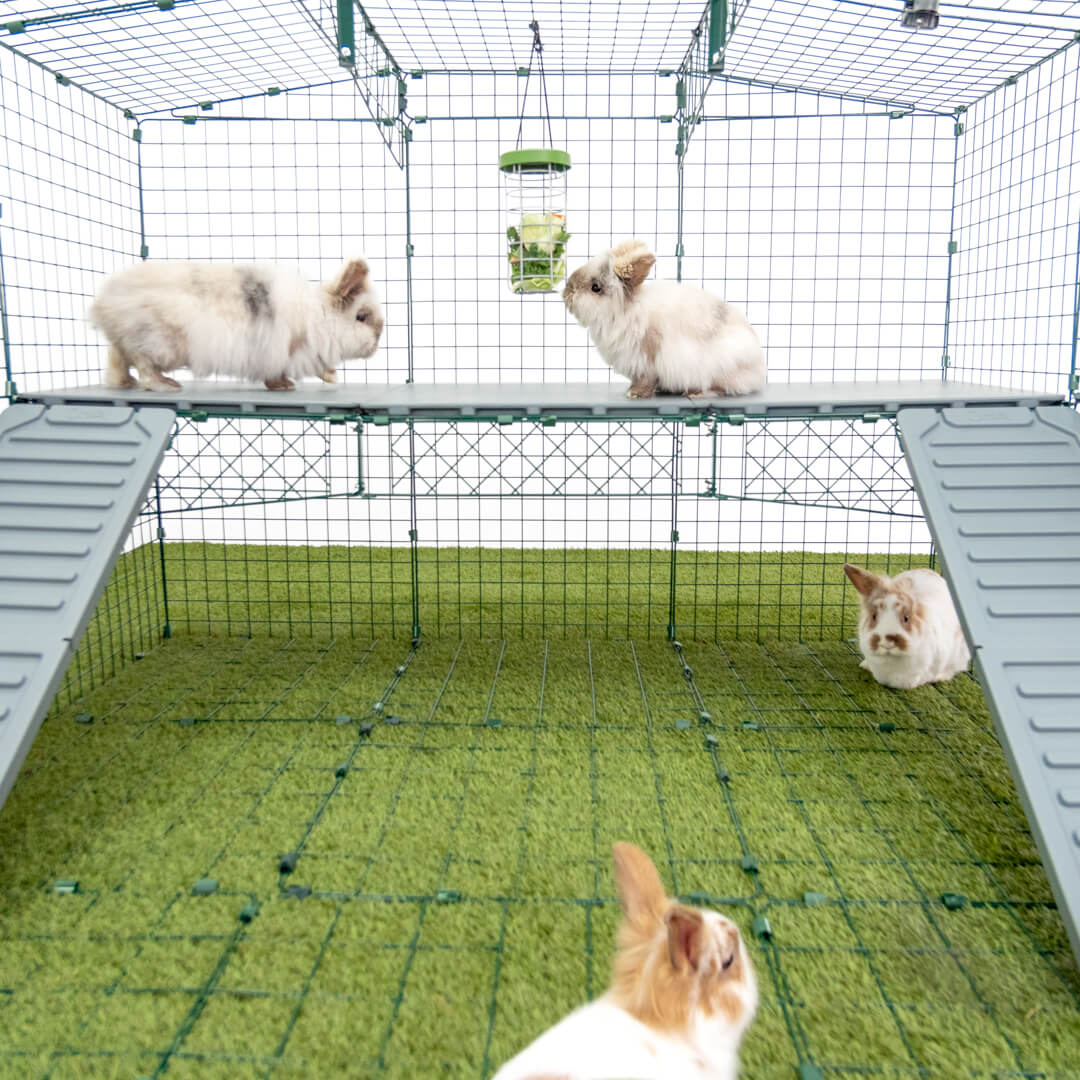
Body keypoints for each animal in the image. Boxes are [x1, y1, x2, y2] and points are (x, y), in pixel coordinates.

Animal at [89, 258, 383, 391]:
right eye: (361, 317)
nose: (379, 338)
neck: (319, 317)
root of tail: (103, 304)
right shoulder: (287, 349)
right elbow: (288, 369)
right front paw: (287, 385)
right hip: (155, 344)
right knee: (144, 367)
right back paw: (167, 385)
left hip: (127, 341)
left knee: (119, 358)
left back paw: (123, 382)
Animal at [562, 239, 765, 399]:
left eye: (595, 287)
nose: (566, 293)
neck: (623, 311)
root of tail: (758, 369)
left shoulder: (646, 359)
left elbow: (645, 380)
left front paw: (634, 394)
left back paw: (695, 393)